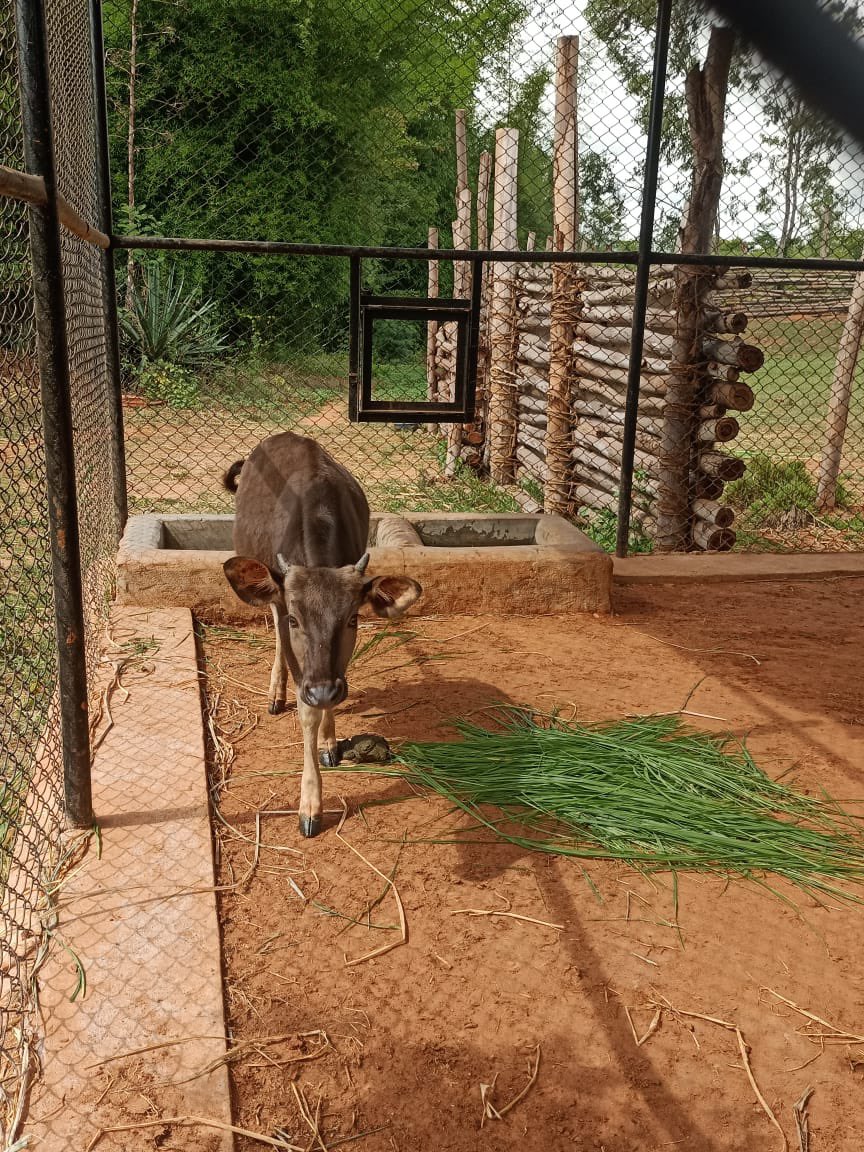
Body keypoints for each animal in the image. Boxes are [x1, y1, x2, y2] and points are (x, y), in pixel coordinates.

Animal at [221, 432, 422, 837]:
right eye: (296, 619)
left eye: (352, 619)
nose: (323, 689)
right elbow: (306, 713)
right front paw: (310, 804)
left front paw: (330, 742)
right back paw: (276, 692)